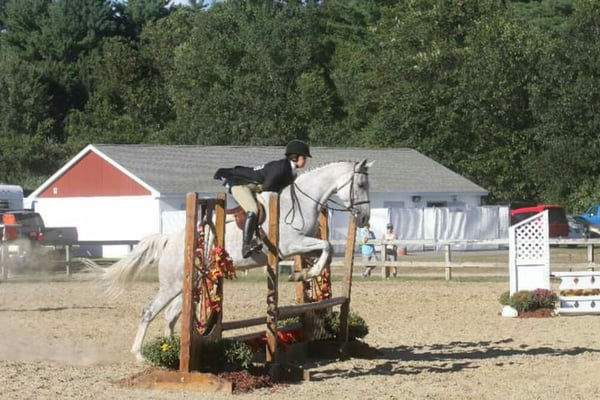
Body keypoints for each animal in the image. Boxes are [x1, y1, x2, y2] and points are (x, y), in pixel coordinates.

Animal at [90, 159, 370, 360]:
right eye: (361, 185)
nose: (365, 218)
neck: (302, 200)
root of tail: (170, 239)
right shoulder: (290, 245)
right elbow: (326, 246)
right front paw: (304, 274)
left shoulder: (299, 248)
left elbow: (327, 252)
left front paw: (302, 273)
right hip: (172, 284)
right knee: (149, 311)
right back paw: (140, 355)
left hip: (188, 285)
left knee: (170, 315)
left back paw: (170, 348)